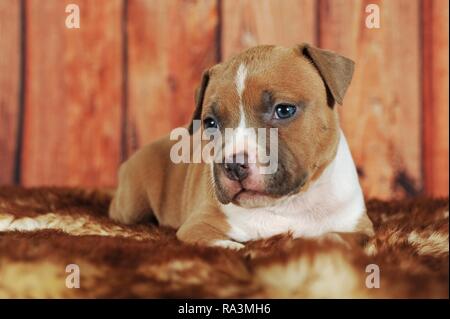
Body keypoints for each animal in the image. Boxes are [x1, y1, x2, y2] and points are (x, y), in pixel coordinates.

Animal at [109, 43, 372, 250]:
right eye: (210, 123)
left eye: (284, 110)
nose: (233, 165)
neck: (286, 205)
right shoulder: (197, 226)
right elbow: (225, 245)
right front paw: (241, 250)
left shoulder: (358, 227)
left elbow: (337, 237)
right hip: (131, 205)